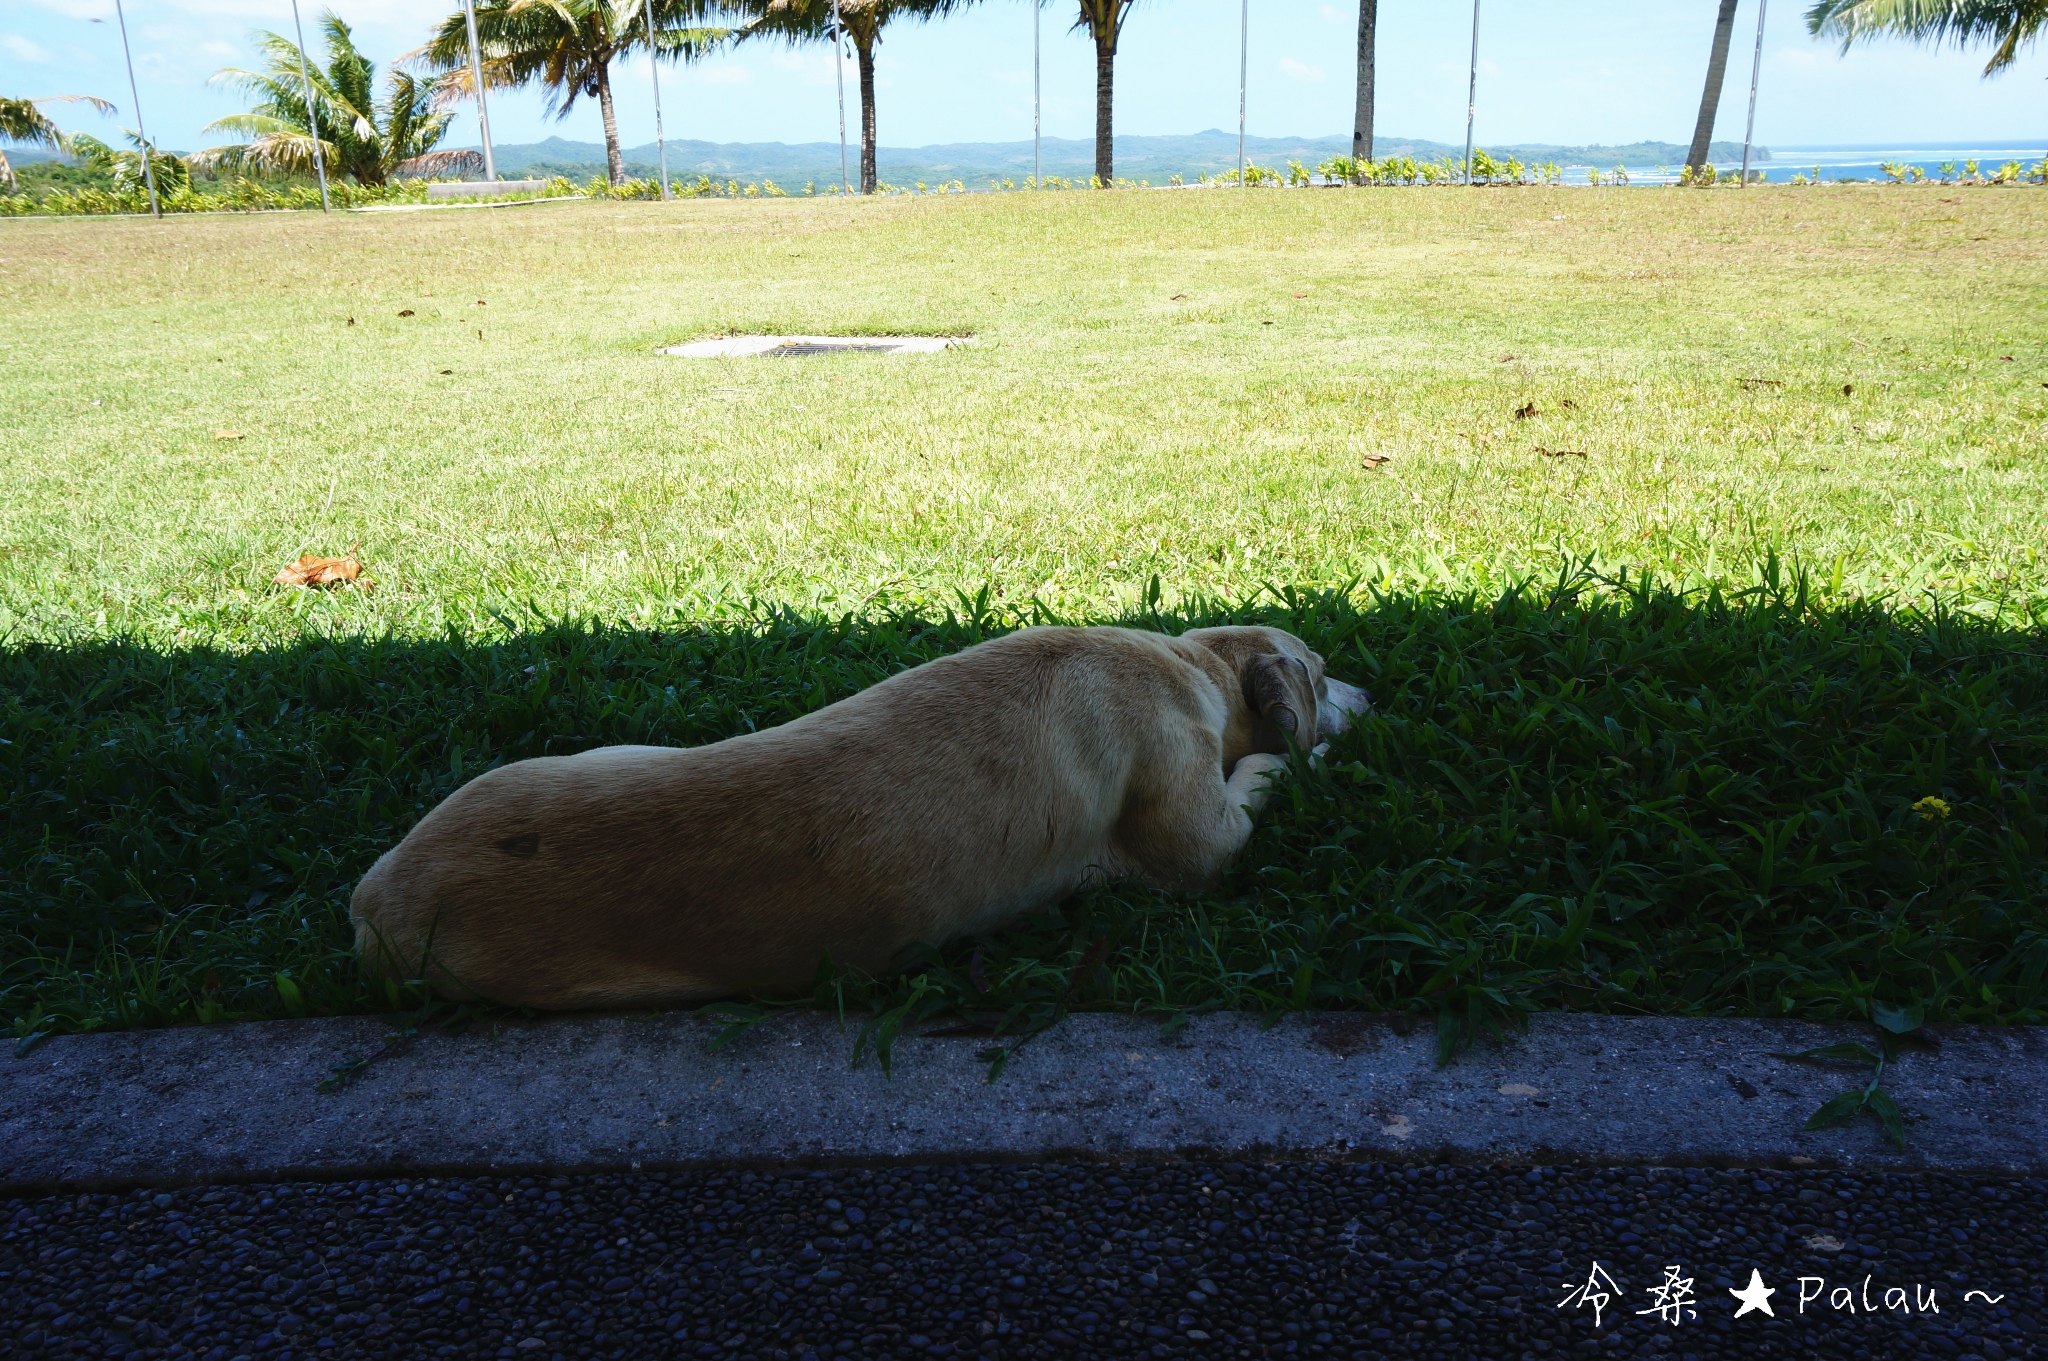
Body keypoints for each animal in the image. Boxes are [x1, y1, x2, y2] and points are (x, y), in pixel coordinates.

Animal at [354, 626, 1376, 1006]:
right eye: (1323, 671)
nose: (1369, 695)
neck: (1190, 665)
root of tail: (373, 898)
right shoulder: (1200, 838)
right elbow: (1254, 783)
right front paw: (1306, 755)